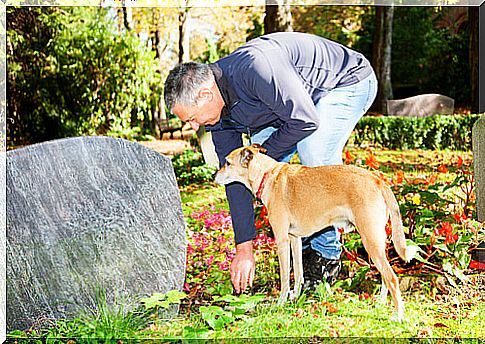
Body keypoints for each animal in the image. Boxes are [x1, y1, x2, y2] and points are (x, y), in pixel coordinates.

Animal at [214, 143, 418, 320]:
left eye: (227, 163)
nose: (214, 176)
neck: (268, 176)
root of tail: (378, 181)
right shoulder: (294, 239)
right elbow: (298, 273)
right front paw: (295, 297)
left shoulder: (282, 241)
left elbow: (285, 278)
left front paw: (280, 303)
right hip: (378, 242)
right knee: (385, 277)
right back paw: (382, 303)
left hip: (370, 241)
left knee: (392, 278)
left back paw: (398, 315)